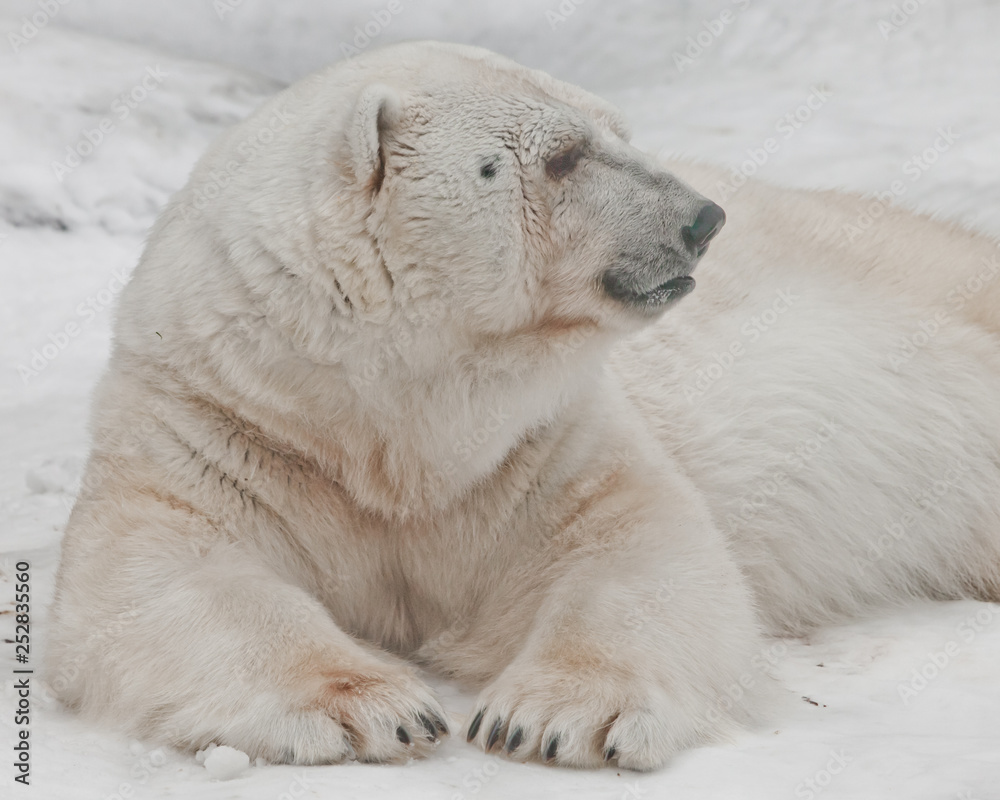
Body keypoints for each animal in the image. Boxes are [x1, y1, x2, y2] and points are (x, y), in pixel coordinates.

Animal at [47, 40, 1000, 770]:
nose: (703, 219)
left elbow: (637, 546)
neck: (383, 421)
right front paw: (376, 707)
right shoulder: (226, 425)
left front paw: (552, 717)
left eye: (619, 130)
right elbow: (164, 573)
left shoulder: (537, 442)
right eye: (562, 154)